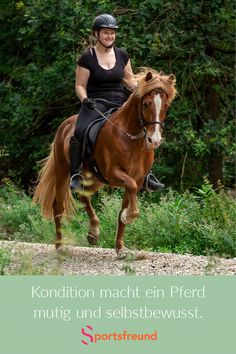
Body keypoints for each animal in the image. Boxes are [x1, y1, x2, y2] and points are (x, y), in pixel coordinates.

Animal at [34, 68, 176, 258]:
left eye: (166, 106)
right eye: (146, 104)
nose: (154, 140)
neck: (131, 138)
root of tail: (65, 124)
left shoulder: (137, 179)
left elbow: (124, 205)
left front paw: (121, 247)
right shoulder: (114, 174)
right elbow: (130, 190)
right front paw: (128, 216)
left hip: (94, 179)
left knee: (84, 195)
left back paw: (93, 232)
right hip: (63, 172)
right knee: (58, 206)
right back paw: (60, 246)